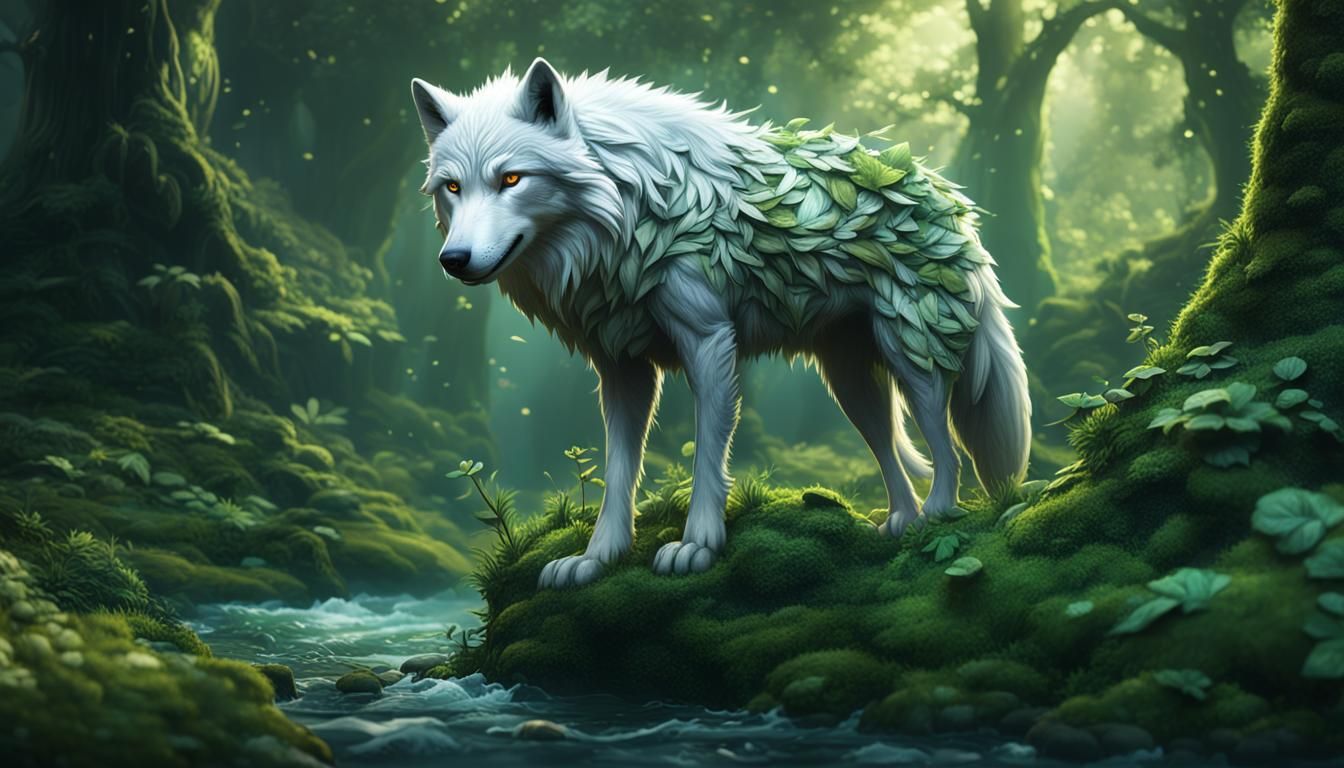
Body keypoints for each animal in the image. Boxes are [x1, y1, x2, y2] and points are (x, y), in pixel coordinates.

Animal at [411, 58, 1031, 589]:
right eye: (453, 188)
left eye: (512, 179)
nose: (453, 260)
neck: (631, 204)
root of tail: (947, 196)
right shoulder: (623, 368)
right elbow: (618, 471)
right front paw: (596, 560)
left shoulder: (709, 343)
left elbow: (709, 455)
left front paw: (697, 546)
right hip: (850, 384)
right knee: (889, 452)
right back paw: (899, 524)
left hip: (914, 357)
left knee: (948, 450)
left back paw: (938, 517)